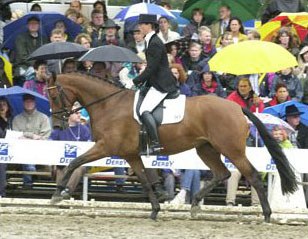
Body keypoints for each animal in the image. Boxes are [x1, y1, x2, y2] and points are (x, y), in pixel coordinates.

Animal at [47, 73, 298, 222]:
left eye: (54, 96)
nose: (58, 124)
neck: (109, 104)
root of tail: (237, 108)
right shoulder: (130, 155)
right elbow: (145, 180)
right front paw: (155, 208)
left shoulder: (106, 147)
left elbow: (74, 161)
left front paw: (58, 194)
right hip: (206, 149)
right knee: (222, 173)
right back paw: (195, 205)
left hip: (232, 150)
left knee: (252, 175)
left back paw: (267, 215)